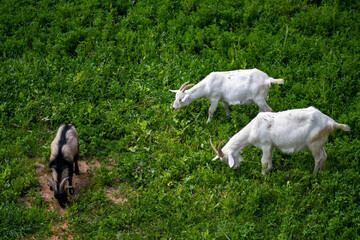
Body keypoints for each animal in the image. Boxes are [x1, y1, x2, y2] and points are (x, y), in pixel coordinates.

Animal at [210, 107, 350, 174]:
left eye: (227, 159)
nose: (235, 169)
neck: (253, 128)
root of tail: (330, 122)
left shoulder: (265, 144)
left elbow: (263, 160)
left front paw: (263, 173)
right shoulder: (271, 145)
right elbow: (269, 158)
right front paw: (270, 170)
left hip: (313, 143)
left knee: (318, 158)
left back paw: (314, 174)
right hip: (320, 142)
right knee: (324, 155)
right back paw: (322, 172)